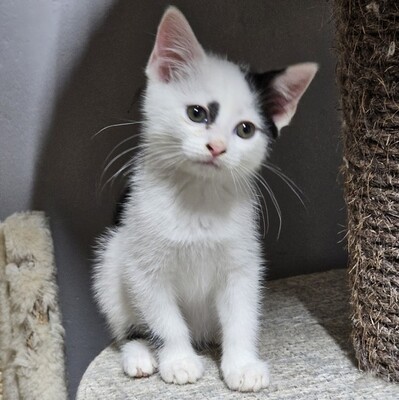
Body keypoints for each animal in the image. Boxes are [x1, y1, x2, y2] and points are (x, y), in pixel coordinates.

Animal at [92, 6, 318, 392]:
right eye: (197, 113)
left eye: (245, 129)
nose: (217, 147)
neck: (197, 197)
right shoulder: (143, 265)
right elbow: (164, 319)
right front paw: (179, 360)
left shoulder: (243, 262)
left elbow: (242, 316)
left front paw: (242, 364)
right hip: (111, 258)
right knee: (127, 327)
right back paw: (139, 355)